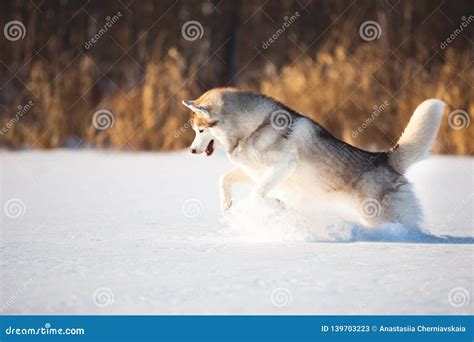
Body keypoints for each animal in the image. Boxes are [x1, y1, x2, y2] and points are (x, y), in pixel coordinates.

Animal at [181, 89, 444, 230]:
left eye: (200, 131)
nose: (191, 151)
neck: (254, 127)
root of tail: (384, 157)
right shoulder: (254, 171)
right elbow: (224, 179)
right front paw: (226, 204)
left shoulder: (284, 166)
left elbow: (257, 194)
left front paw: (278, 205)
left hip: (380, 214)